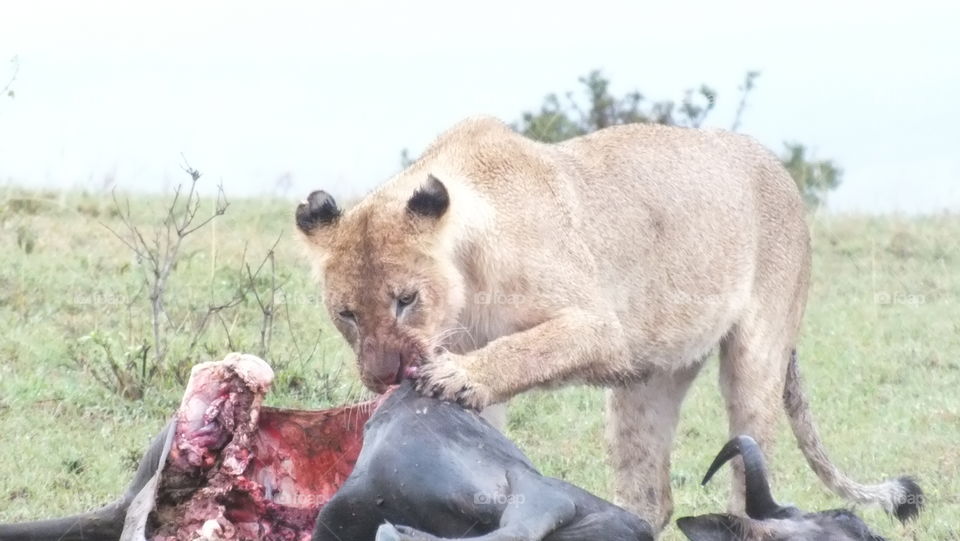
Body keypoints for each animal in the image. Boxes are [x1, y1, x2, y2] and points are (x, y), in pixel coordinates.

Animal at [295, 116, 920, 531]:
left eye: (405, 300)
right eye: (347, 315)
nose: (384, 377)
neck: (465, 285)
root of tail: (780, 169)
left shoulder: (600, 327)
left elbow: (528, 348)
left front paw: (456, 376)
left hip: (757, 355)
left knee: (748, 479)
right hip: (647, 382)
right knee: (650, 495)